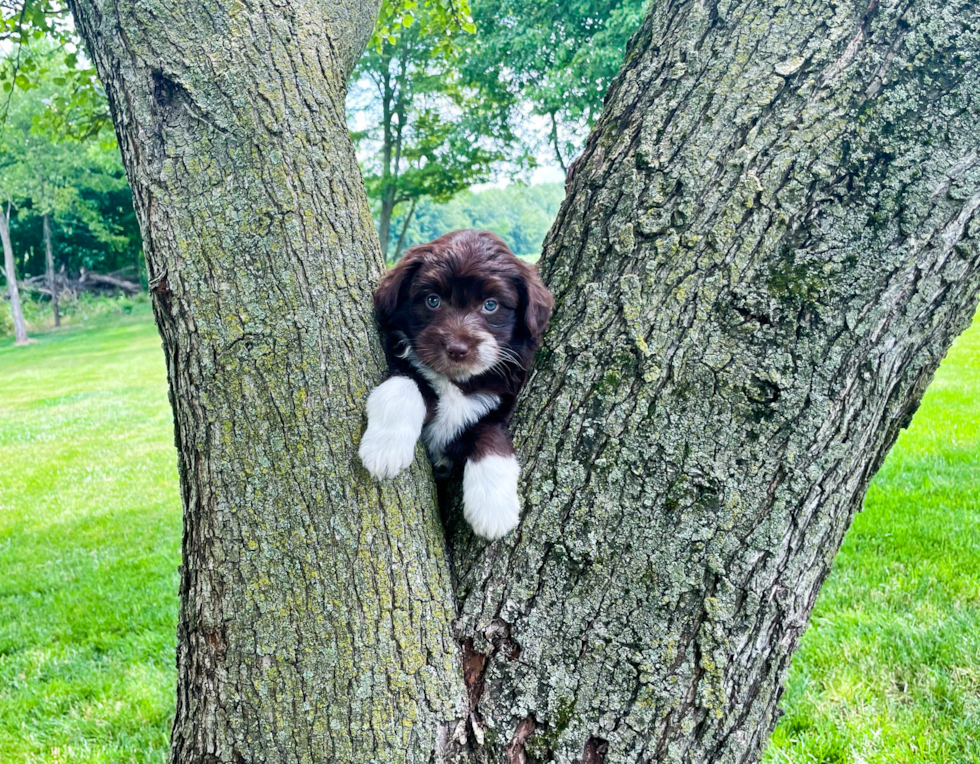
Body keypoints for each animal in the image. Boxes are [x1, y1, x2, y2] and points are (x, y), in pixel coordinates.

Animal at [360, 230, 556, 540]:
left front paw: (494, 510)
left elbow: (491, 438)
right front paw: (385, 449)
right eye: (433, 300)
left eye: (491, 305)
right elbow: (404, 387)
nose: (457, 348)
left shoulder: (497, 403)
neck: (456, 381)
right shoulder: (399, 361)